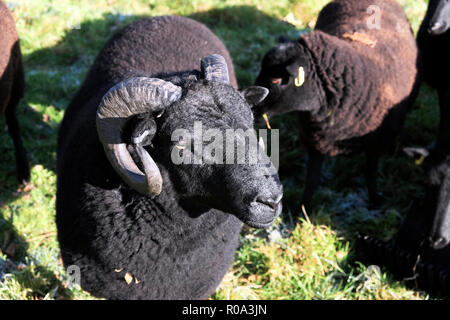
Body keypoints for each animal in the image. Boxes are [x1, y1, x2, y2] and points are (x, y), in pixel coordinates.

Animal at [256, 0, 422, 211]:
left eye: (276, 80)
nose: (251, 108)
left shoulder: (375, 142)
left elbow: (370, 174)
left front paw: (374, 202)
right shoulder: (315, 140)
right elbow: (312, 180)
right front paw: (304, 210)